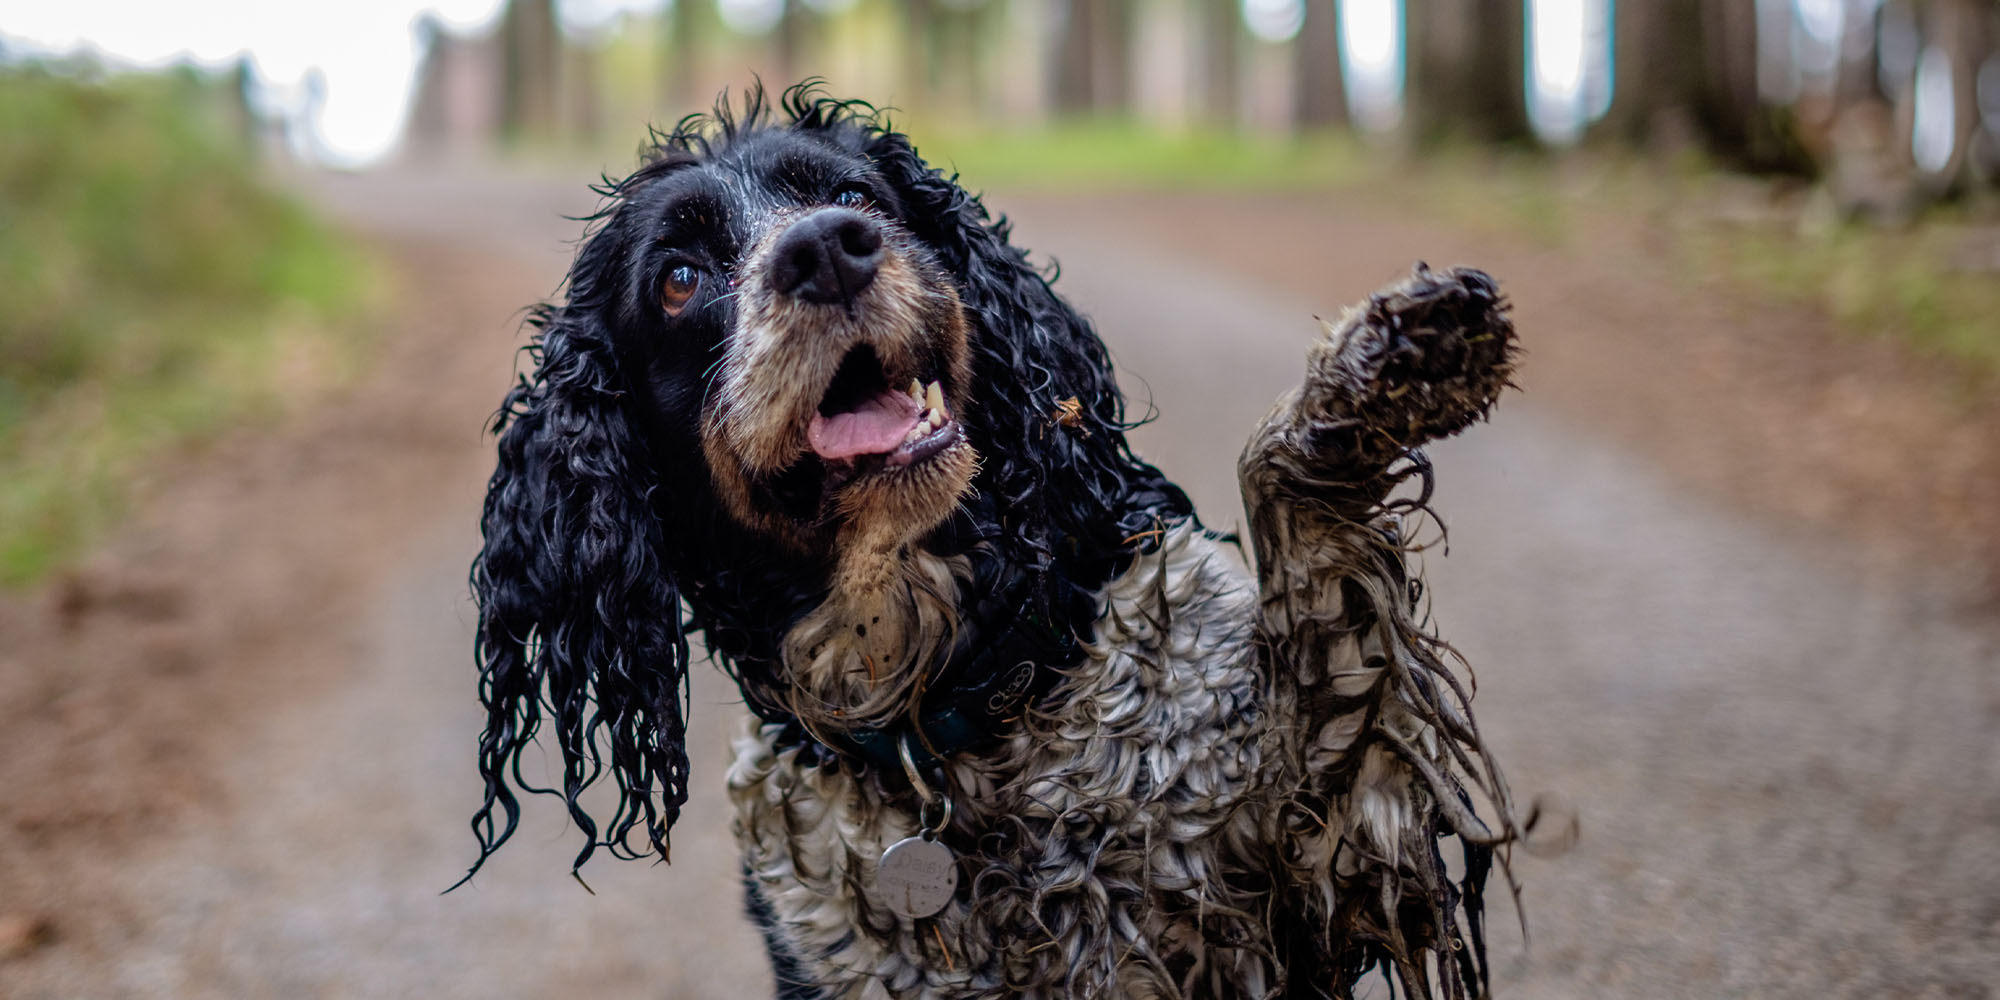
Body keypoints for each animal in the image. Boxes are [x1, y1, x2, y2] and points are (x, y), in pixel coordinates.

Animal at [468, 88, 1528, 1000]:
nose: (828, 251)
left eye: (857, 198)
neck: (954, 715)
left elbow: (1302, 550)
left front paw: (1390, 360)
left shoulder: (1326, 864)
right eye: (680, 281)